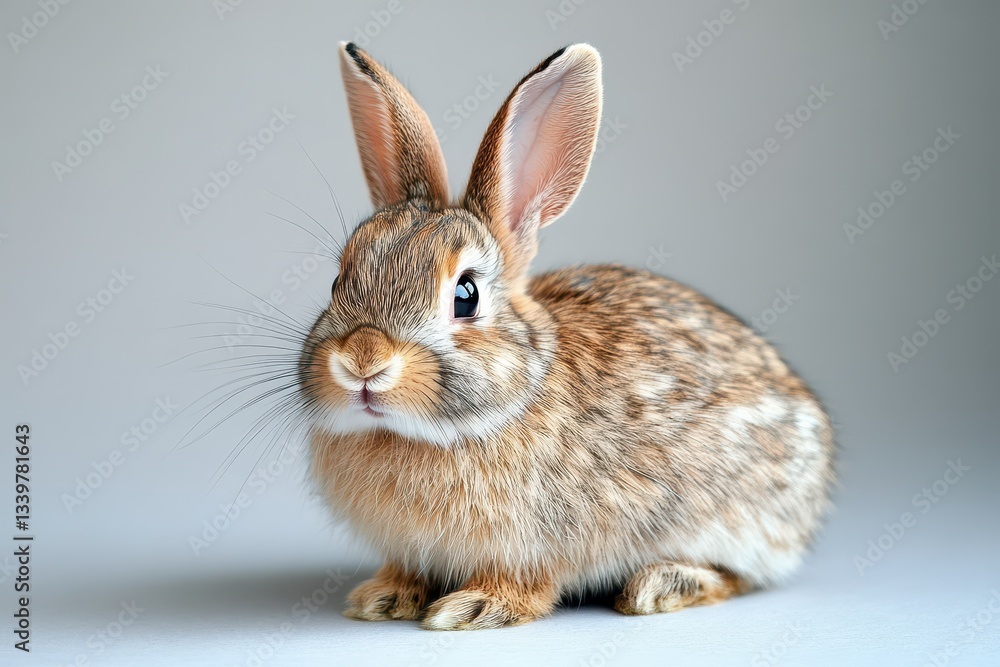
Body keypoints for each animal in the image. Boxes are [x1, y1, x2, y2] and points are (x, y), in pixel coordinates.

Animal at [298, 41, 836, 631]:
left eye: (466, 295)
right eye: (337, 281)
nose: (362, 361)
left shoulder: (539, 545)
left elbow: (526, 585)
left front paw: (474, 608)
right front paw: (383, 597)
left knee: (739, 575)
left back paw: (660, 585)